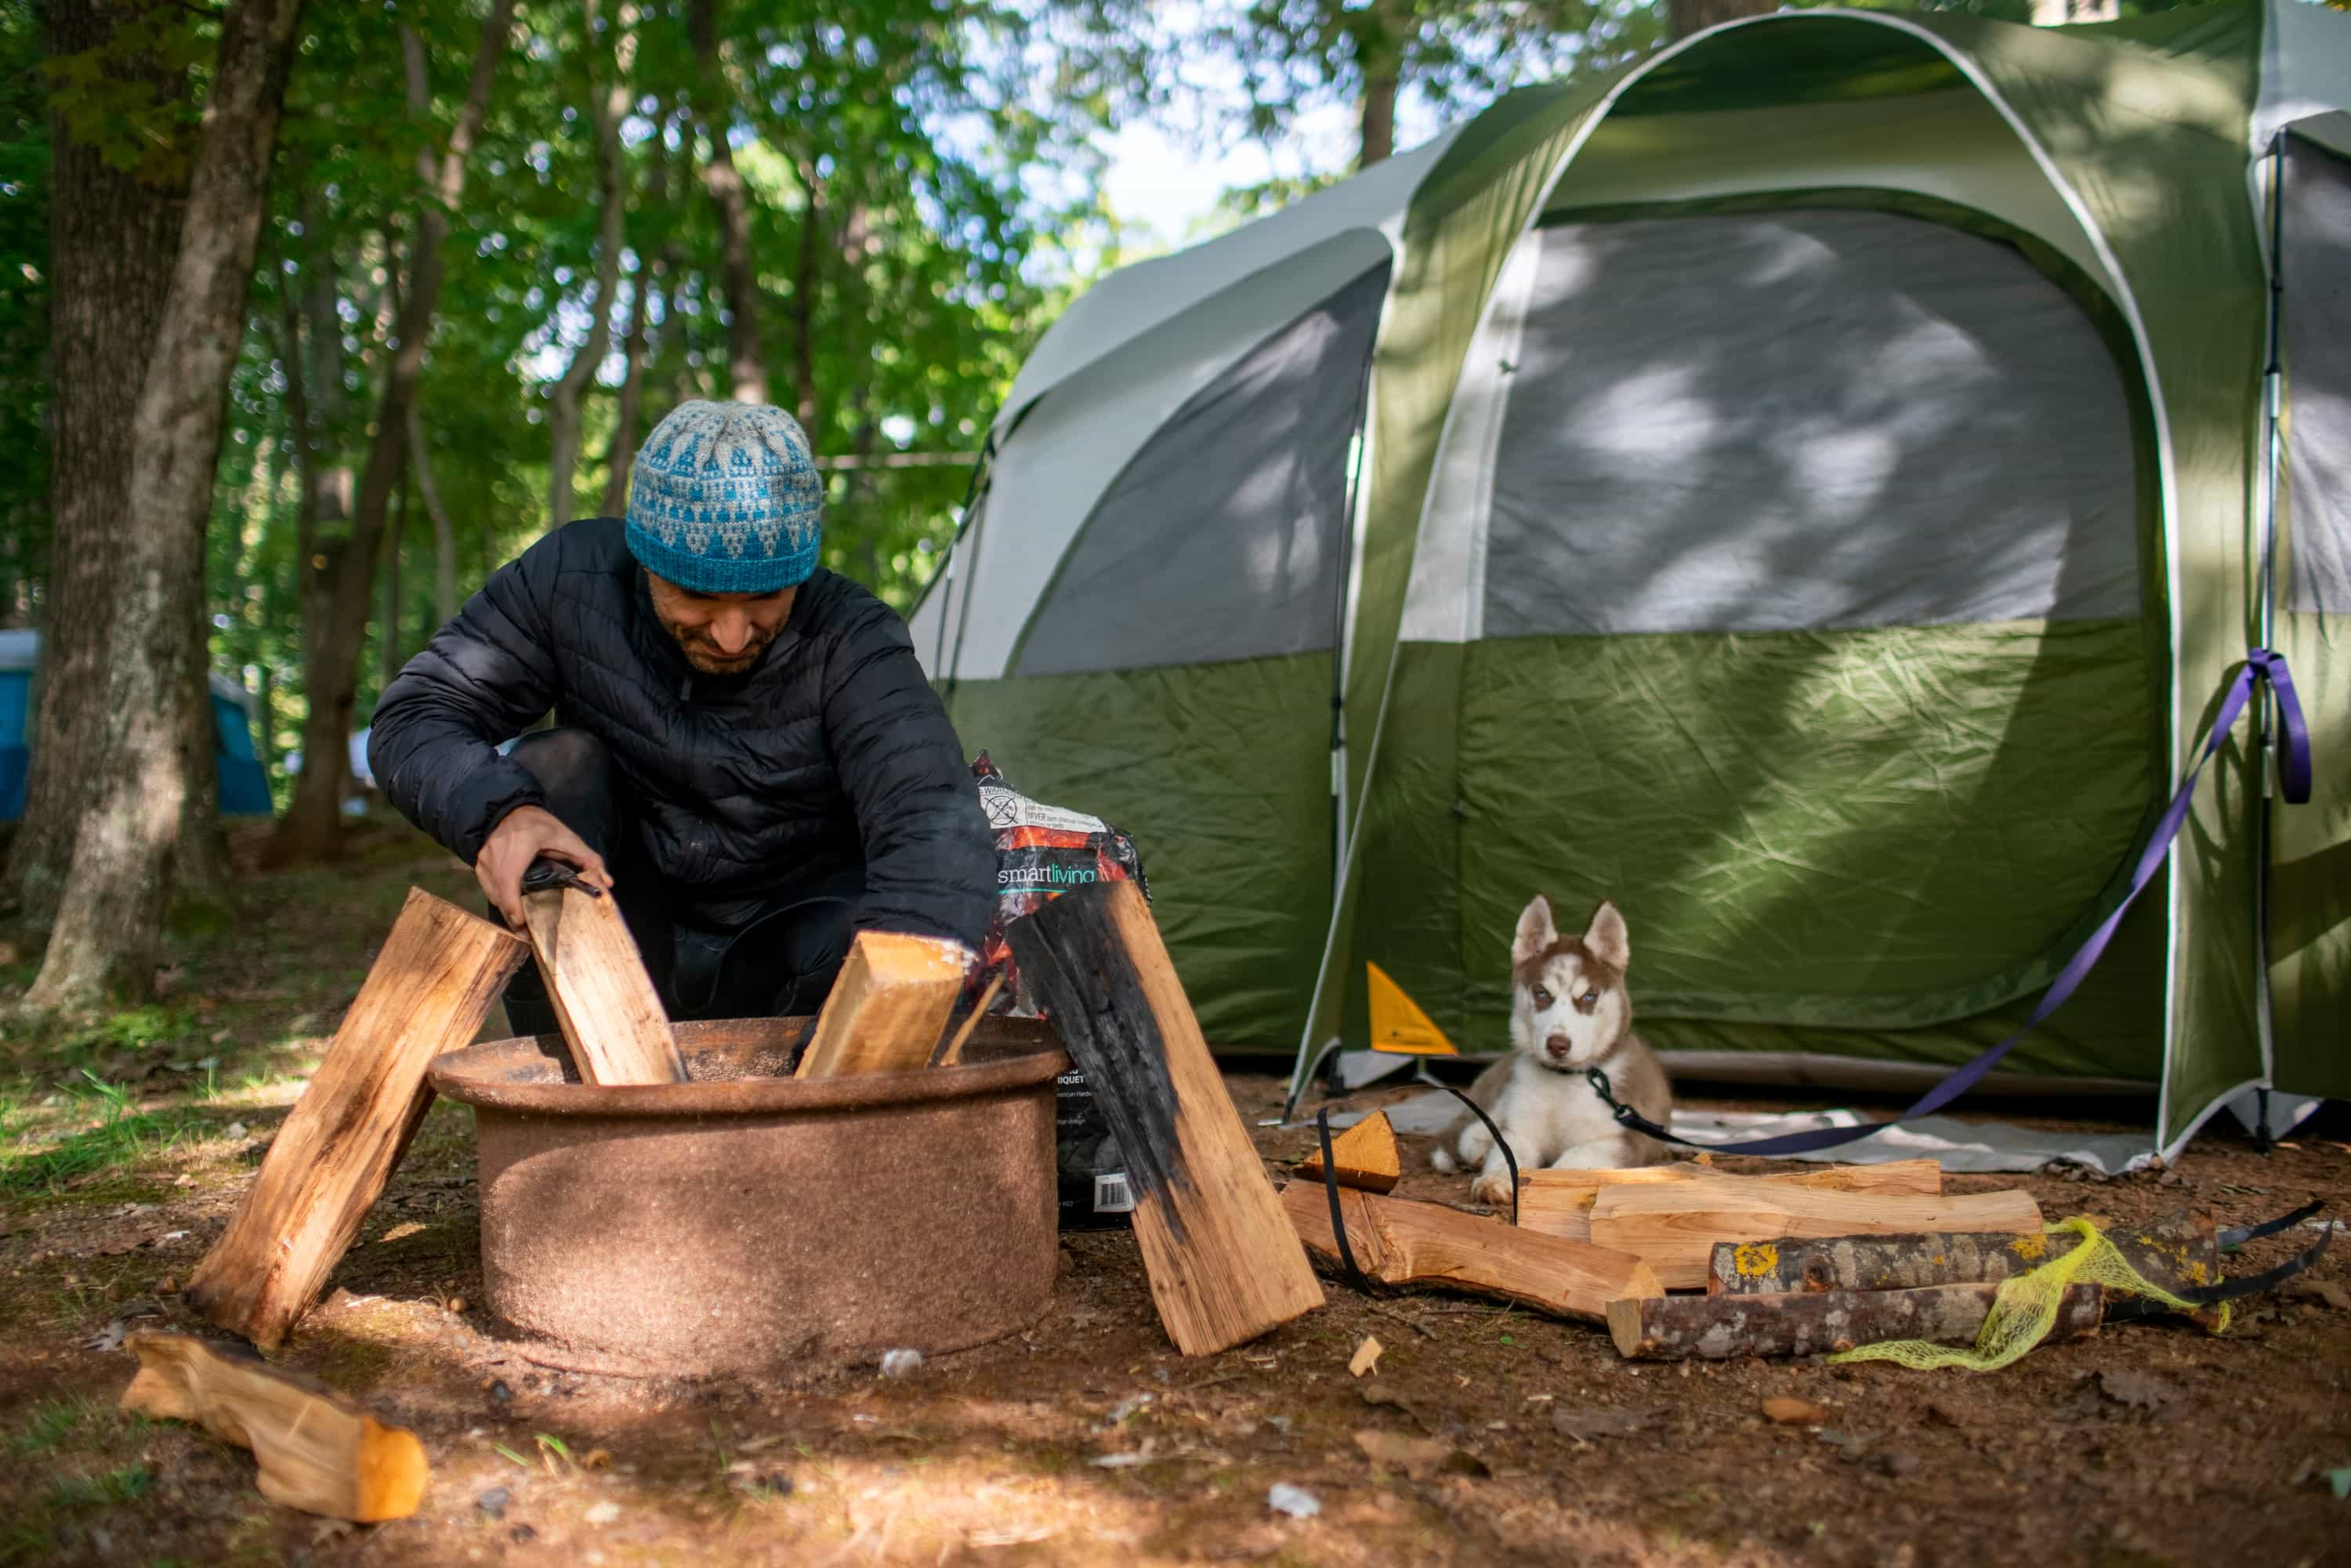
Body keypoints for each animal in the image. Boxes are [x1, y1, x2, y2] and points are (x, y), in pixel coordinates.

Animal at [1429, 889, 1674, 1213]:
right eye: (1542, 993)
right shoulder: (1522, 1132)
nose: (1558, 1044)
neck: (1563, 1081)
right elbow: (1507, 1155)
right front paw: (1495, 1179)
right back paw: (1480, 1144)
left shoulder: (1619, 1141)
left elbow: (1570, 1163)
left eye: (1589, 997)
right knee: (1474, 1131)